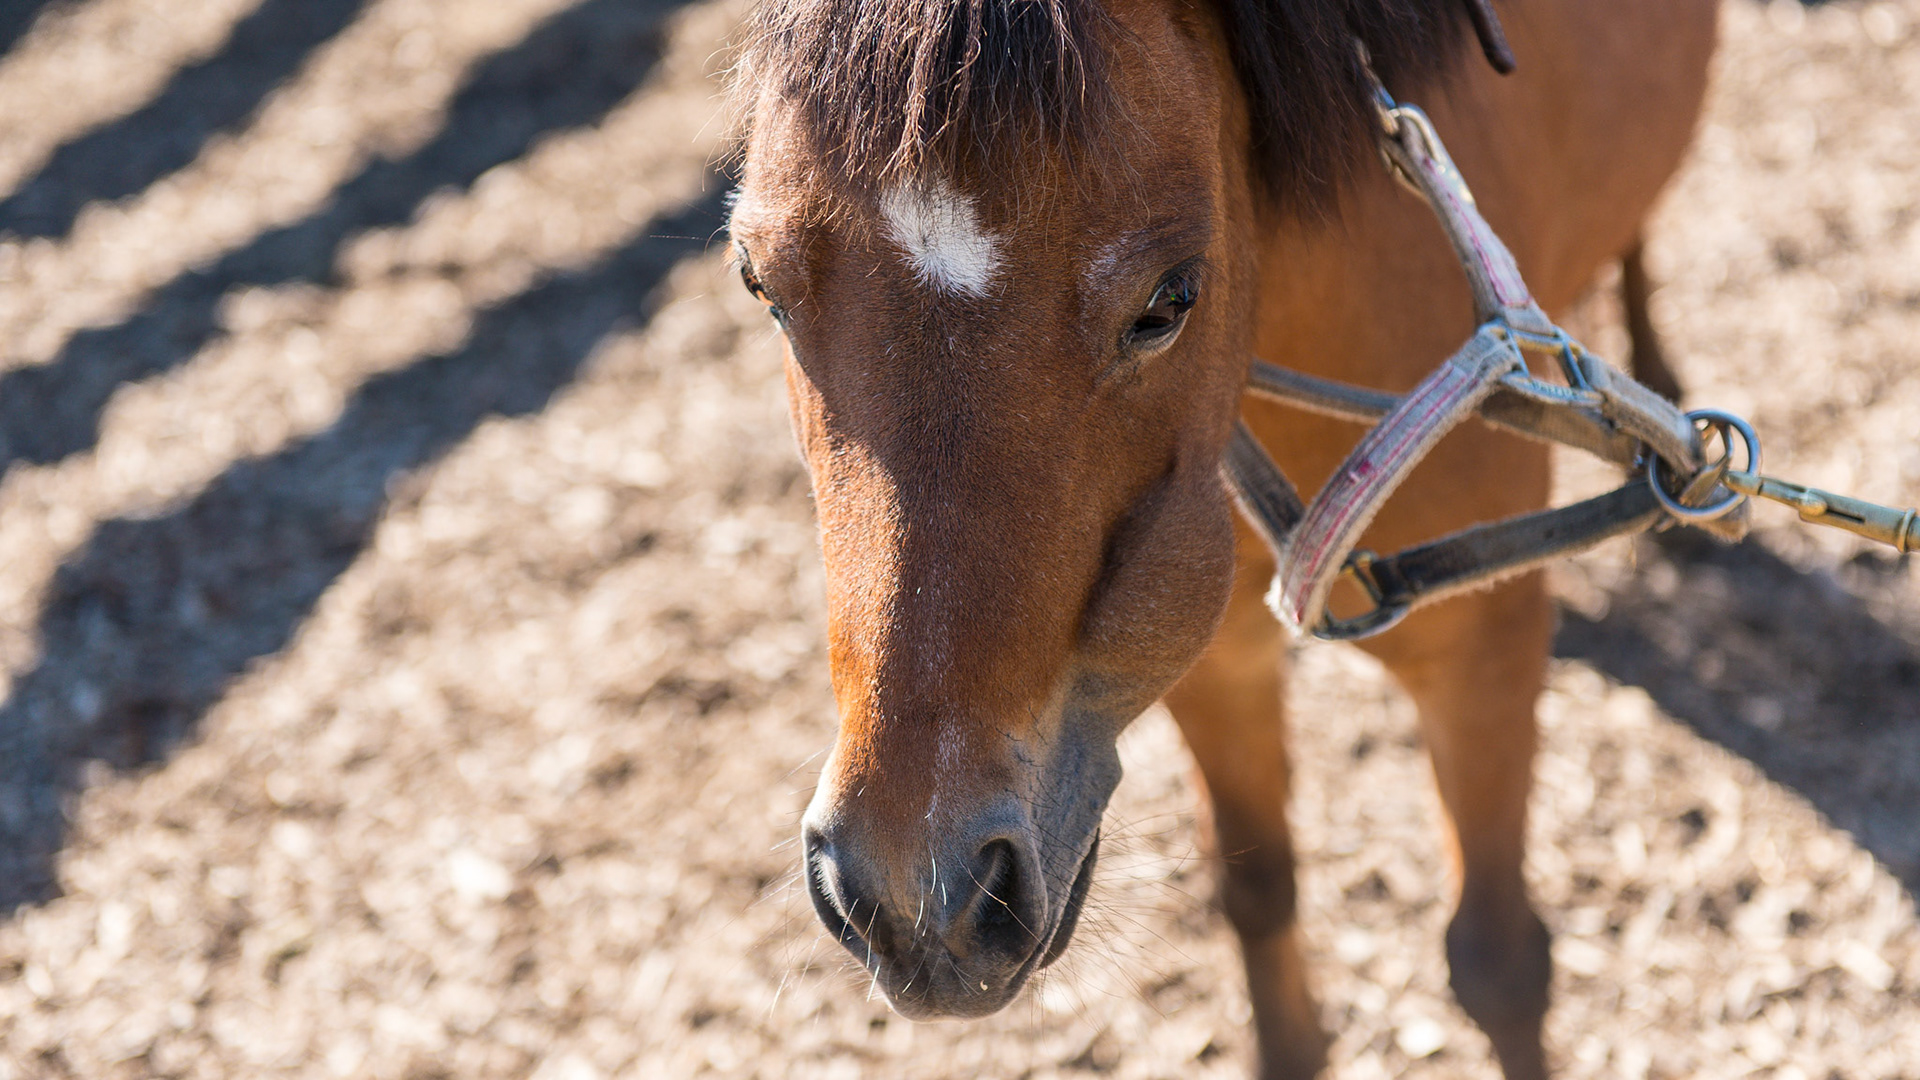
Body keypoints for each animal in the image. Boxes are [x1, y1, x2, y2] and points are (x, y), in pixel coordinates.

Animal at [726, 0, 1717, 1075]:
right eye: (759, 283)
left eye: (1169, 301)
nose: (918, 898)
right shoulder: (1204, 663)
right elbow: (1258, 891)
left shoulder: (1480, 660)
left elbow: (1499, 959)